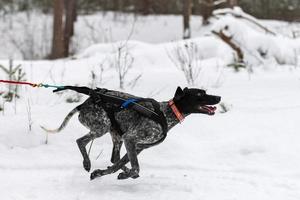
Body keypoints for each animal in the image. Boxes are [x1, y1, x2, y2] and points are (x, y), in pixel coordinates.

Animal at [44, 86, 220, 180]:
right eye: (200, 94)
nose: (218, 97)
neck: (166, 114)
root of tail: (84, 104)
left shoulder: (137, 146)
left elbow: (119, 165)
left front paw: (102, 173)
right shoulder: (130, 139)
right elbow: (135, 168)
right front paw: (125, 173)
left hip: (115, 135)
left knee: (114, 158)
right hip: (102, 127)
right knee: (80, 141)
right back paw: (87, 163)